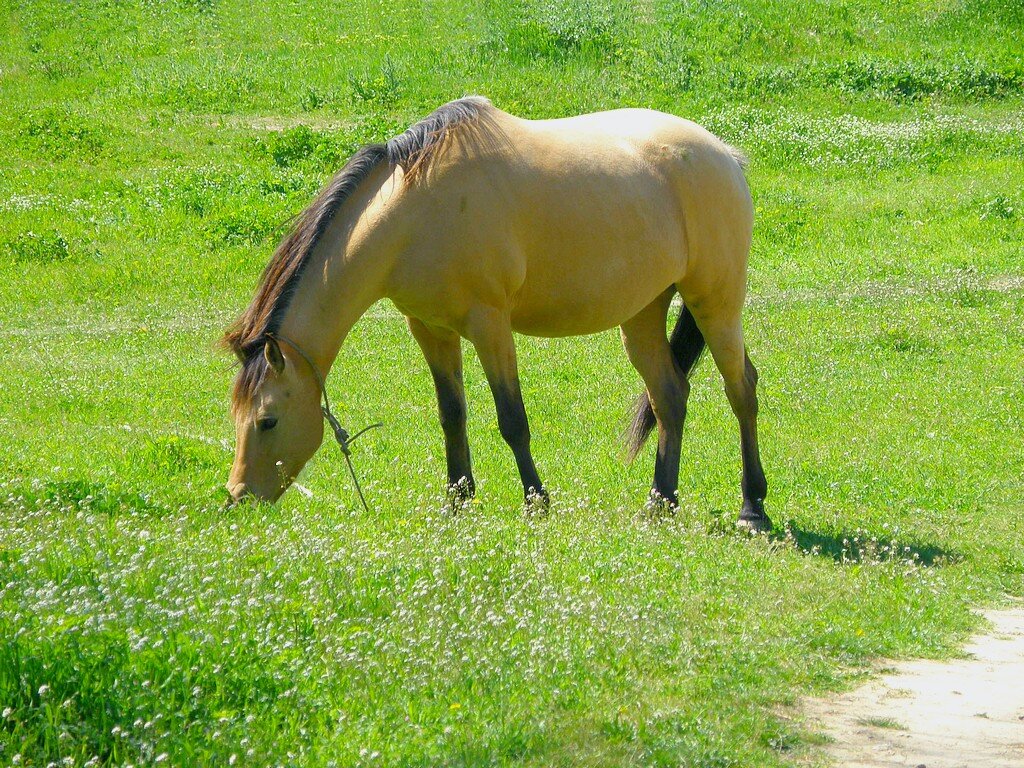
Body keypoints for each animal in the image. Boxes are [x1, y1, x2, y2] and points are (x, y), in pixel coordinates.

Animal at [222, 96, 770, 532]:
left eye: (267, 421)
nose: (238, 498)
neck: (414, 215)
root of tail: (726, 155)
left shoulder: (489, 326)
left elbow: (512, 420)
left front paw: (536, 502)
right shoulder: (430, 329)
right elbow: (452, 415)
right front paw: (458, 500)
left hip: (716, 302)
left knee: (741, 389)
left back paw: (753, 507)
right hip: (642, 314)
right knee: (670, 396)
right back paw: (660, 504)